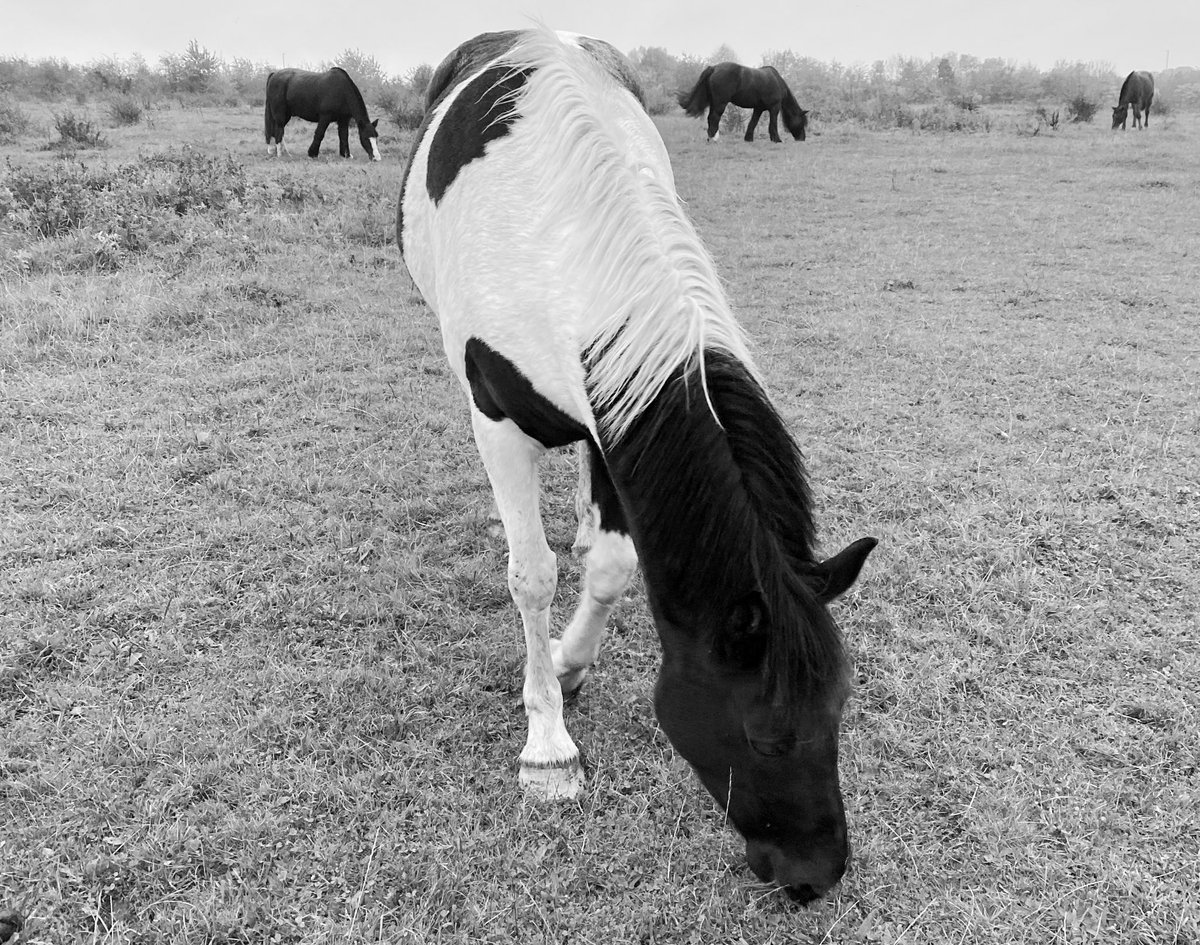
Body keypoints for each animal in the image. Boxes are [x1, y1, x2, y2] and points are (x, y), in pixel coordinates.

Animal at [678, 62, 808, 143]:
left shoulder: (758, 108)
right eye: (802, 122)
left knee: (710, 118)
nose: (802, 138)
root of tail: (714, 68)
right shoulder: (774, 108)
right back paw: (714, 139)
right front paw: (776, 139)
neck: (777, 81)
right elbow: (773, 124)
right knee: (714, 118)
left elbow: (753, 122)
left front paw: (748, 138)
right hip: (720, 103)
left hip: (714, 103)